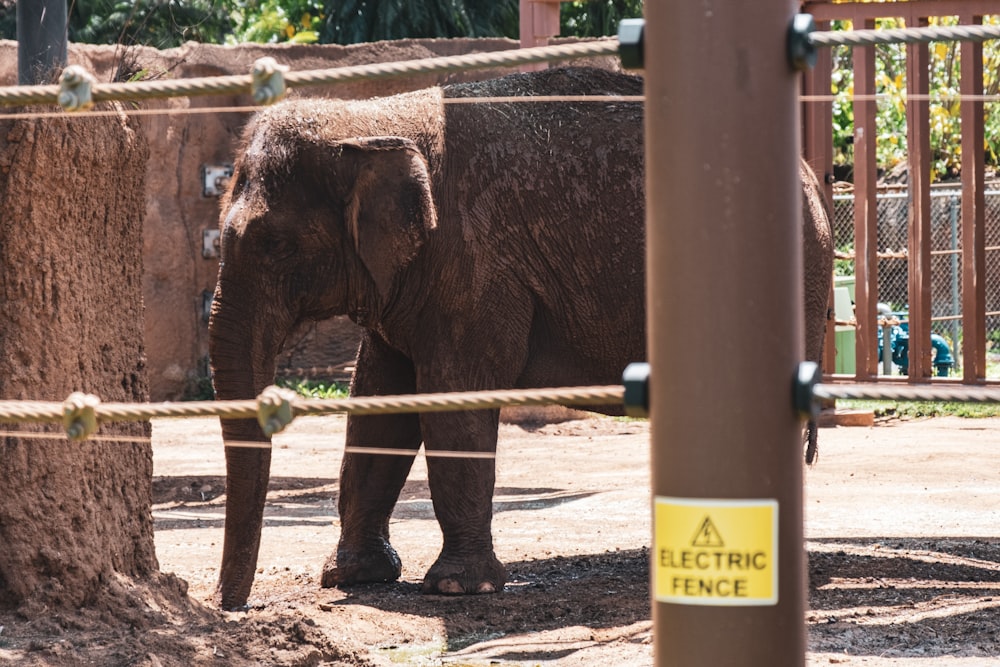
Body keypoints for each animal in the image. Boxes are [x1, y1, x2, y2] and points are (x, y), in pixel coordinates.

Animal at [207, 66, 832, 612]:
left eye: (275, 246)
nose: (230, 606)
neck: (371, 118)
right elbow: (379, 408)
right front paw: (352, 577)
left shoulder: (475, 268)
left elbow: (452, 405)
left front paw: (457, 590)